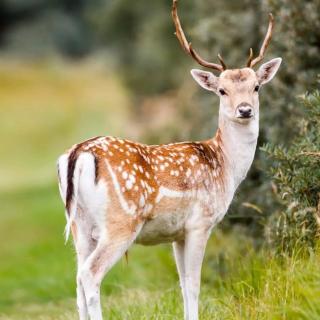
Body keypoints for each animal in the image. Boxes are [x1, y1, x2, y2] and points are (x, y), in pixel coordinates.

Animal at [56, 1, 282, 318]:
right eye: (222, 90)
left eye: (256, 87)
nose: (245, 110)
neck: (225, 165)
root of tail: (79, 154)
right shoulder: (200, 222)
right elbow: (195, 284)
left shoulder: (177, 232)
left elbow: (183, 284)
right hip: (120, 222)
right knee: (90, 274)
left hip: (79, 225)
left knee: (77, 278)